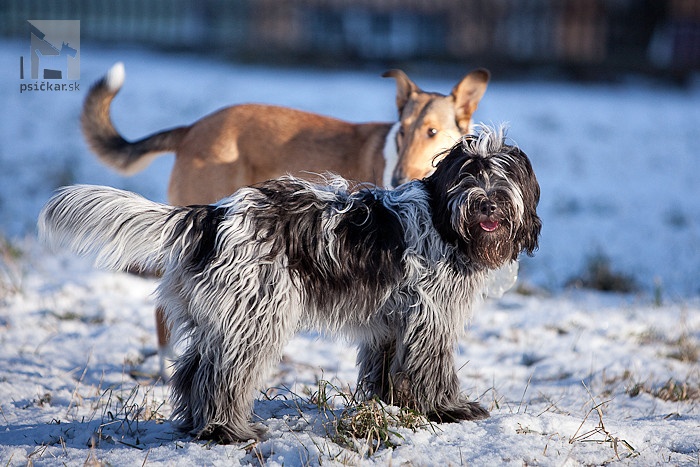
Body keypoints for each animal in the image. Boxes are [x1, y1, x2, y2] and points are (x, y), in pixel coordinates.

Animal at [38, 125, 540, 446]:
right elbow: (433, 369)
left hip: (223, 316)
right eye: (468, 173)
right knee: (223, 376)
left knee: (193, 372)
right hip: (256, 315)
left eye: (503, 175)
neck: (443, 219)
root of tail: (213, 216)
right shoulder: (430, 315)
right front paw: (449, 409)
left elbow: (385, 369)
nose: (487, 202)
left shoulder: (392, 320)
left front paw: (392, 406)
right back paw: (229, 431)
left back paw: (198, 426)